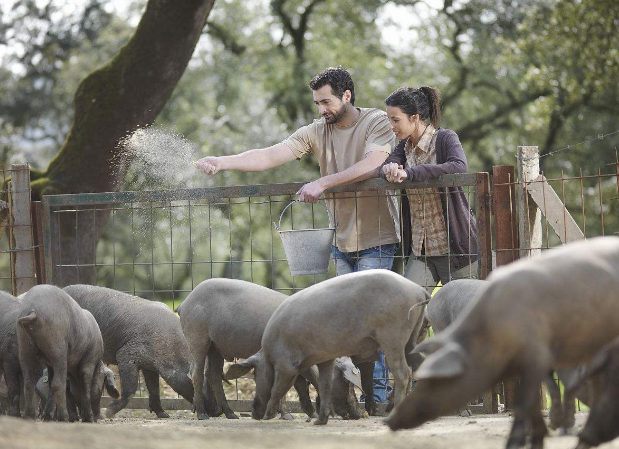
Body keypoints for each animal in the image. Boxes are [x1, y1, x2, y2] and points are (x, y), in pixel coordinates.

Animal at [17, 284, 104, 420]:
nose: (97, 416)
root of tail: (32, 312)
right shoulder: (89, 361)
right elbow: (85, 387)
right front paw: (88, 418)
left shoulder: (49, 364)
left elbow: (51, 385)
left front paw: (48, 416)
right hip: (58, 350)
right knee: (59, 384)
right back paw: (64, 417)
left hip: (24, 348)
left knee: (29, 382)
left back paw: (30, 416)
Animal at [63, 286, 216, 418]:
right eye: (202, 386)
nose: (217, 411)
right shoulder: (126, 355)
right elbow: (131, 388)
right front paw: (109, 413)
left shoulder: (150, 366)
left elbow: (154, 388)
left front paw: (164, 415)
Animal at [177, 278, 364, 422]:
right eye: (347, 382)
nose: (360, 414)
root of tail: (184, 303)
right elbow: (296, 383)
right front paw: (291, 416)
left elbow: (298, 384)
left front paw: (307, 414)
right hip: (196, 335)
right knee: (196, 372)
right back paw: (202, 415)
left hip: (216, 346)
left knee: (213, 374)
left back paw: (231, 415)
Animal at [224, 268, 432, 426]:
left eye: (255, 375)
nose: (254, 413)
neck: (269, 354)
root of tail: (419, 290)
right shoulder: (324, 358)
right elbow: (324, 385)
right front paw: (319, 421)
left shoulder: (286, 365)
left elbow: (277, 388)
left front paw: (268, 416)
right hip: (412, 339)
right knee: (419, 365)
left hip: (392, 337)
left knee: (403, 372)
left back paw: (390, 416)